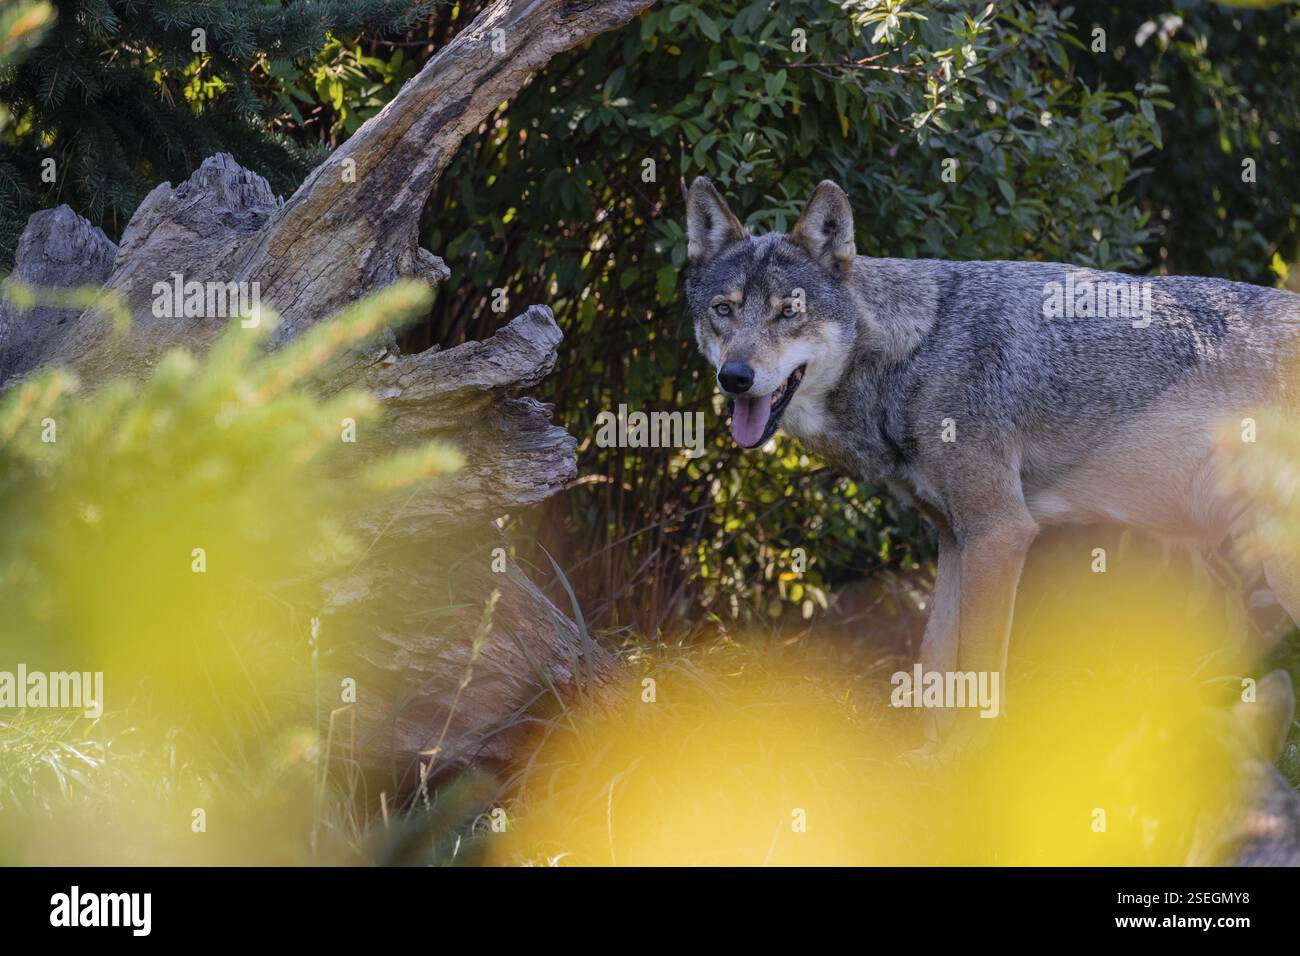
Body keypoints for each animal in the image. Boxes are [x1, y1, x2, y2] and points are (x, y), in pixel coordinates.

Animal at [684, 176, 1300, 745]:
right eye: (723, 311)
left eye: (790, 312)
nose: (735, 377)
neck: (916, 353)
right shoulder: (955, 538)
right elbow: (934, 662)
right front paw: (929, 763)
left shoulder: (1000, 532)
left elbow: (977, 670)